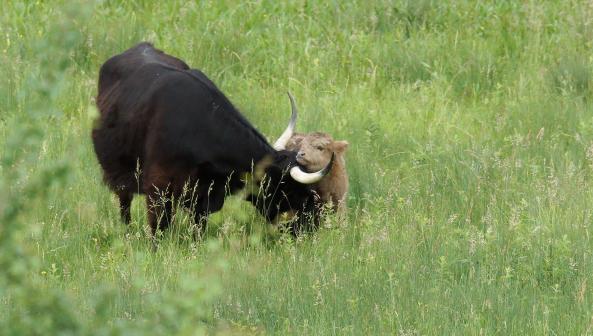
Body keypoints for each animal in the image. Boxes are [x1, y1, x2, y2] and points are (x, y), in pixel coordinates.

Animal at [92, 43, 332, 238]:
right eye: (294, 191)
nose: (314, 225)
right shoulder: (157, 190)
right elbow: (158, 228)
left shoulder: (204, 199)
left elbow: (198, 229)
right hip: (119, 174)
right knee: (124, 204)